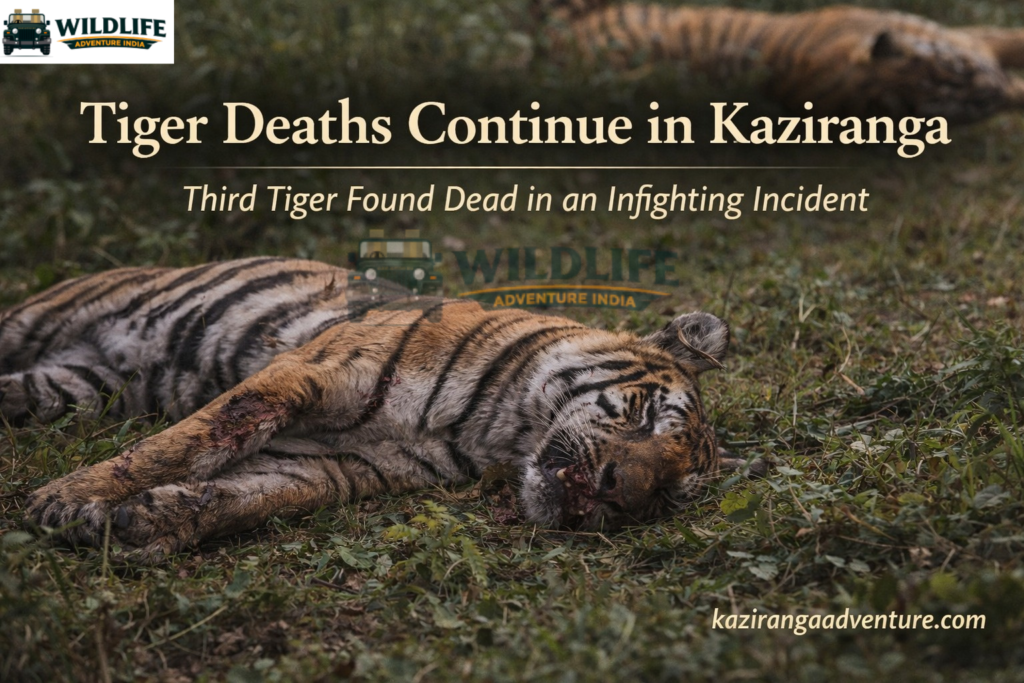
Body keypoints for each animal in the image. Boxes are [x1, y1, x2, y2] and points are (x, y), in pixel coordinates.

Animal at [3, 257, 742, 561]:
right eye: (643, 416)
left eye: (667, 496)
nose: (620, 491)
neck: (495, 432)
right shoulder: (306, 374)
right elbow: (179, 444)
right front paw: (63, 502)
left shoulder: (331, 464)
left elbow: (241, 495)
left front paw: (140, 526)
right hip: (36, 321)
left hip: (77, 385)